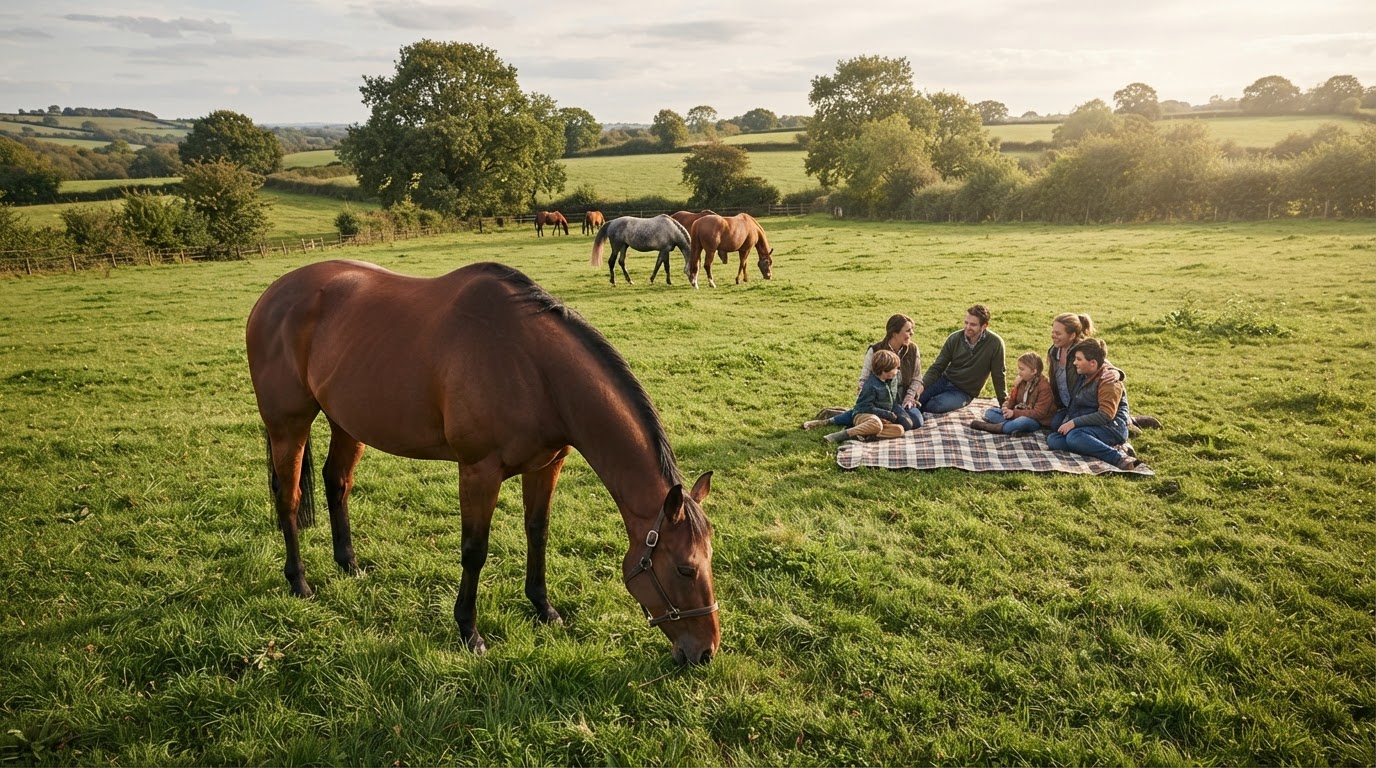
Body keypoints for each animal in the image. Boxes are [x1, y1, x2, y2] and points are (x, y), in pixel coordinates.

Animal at [246, 260, 720, 665]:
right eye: (685, 568)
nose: (705, 652)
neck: (533, 367)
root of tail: (271, 296)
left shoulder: (545, 466)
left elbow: (538, 533)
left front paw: (544, 607)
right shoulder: (479, 472)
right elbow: (475, 551)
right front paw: (468, 631)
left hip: (347, 420)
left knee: (337, 481)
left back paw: (349, 564)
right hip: (288, 425)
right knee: (288, 497)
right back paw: (299, 582)